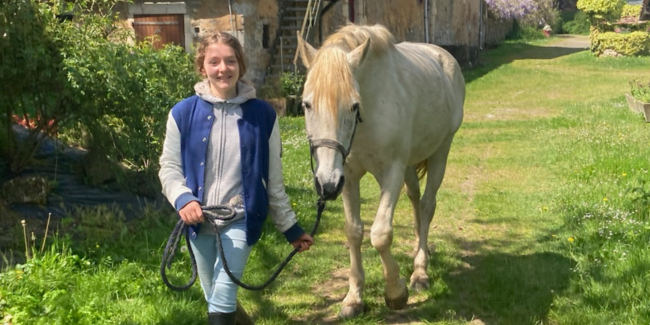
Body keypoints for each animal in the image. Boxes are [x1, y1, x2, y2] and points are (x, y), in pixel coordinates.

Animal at [296, 24, 464, 318]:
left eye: (353, 105)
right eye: (307, 104)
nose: (326, 184)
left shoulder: (391, 172)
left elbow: (381, 234)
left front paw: (395, 292)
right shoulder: (348, 176)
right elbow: (354, 232)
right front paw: (354, 298)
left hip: (440, 152)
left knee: (427, 205)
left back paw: (420, 272)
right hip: (409, 166)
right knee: (415, 200)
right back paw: (421, 253)